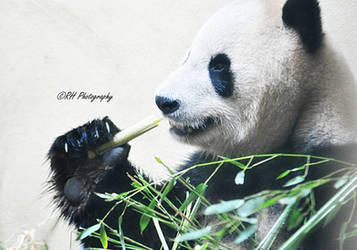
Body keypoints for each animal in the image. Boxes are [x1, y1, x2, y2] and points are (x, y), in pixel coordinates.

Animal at [46, 0, 356, 249]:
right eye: (186, 58)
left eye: (218, 66)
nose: (164, 101)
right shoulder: (207, 179)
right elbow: (148, 224)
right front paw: (89, 162)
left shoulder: (324, 173)